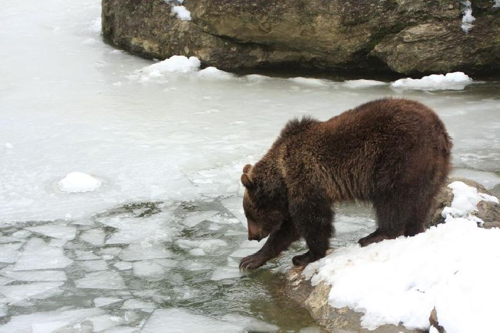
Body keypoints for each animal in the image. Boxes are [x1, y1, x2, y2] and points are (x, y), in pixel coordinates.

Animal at [238, 97, 454, 268]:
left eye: (249, 214)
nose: (251, 236)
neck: (282, 176)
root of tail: (440, 129)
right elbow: (289, 227)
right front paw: (251, 259)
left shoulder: (305, 178)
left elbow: (311, 220)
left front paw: (304, 256)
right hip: (432, 169)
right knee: (421, 203)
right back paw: (414, 229)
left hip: (400, 157)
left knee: (391, 199)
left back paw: (373, 236)